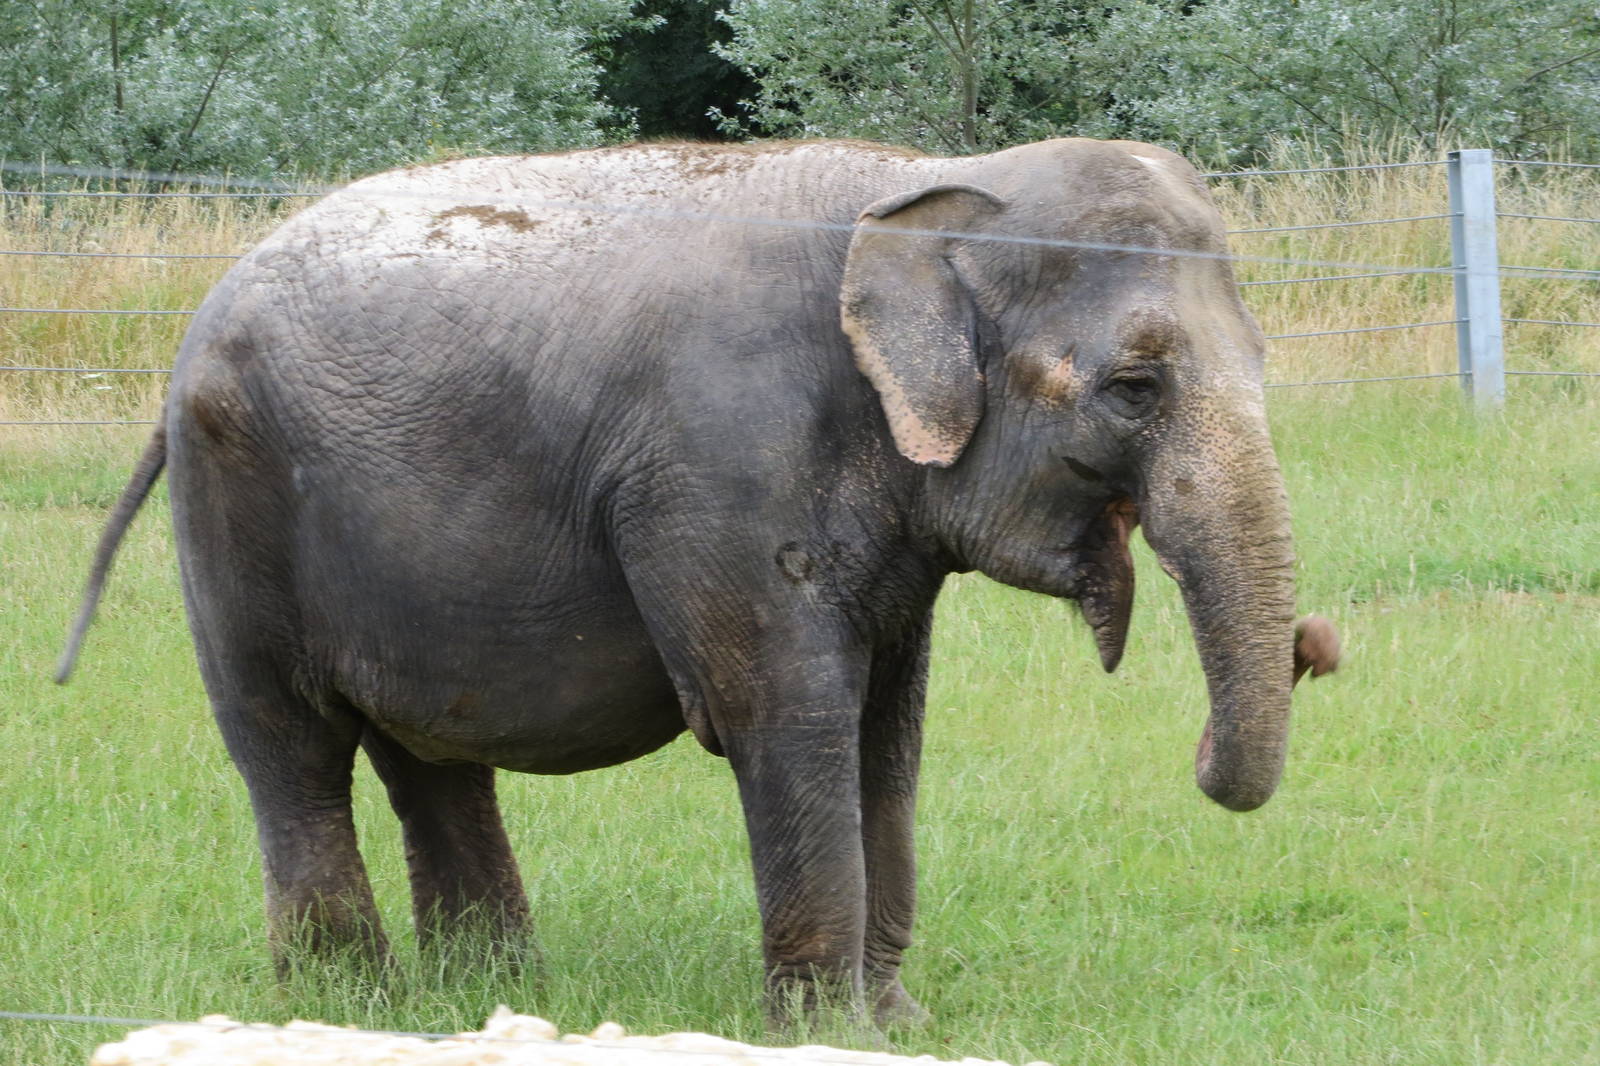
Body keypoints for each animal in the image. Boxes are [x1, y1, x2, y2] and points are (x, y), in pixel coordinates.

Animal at [59, 137, 1339, 1029]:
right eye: (1133, 387)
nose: (1313, 644)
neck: (924, 188)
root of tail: (192, 328)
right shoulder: (724, 466)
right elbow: (783, 709)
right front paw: (826, 1031)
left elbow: (889, 725)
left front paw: (895, 1022)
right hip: (233, 505)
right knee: (293, 749)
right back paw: (351, 1004)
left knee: (429, 758)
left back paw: (487, 992)